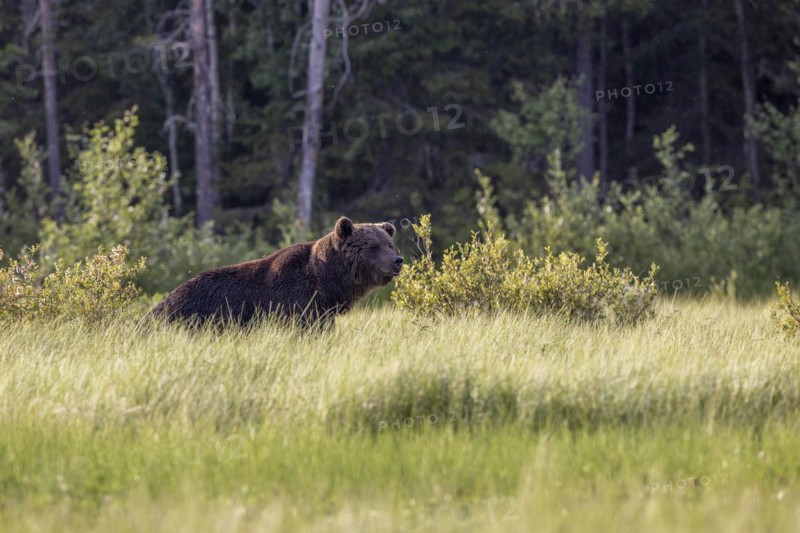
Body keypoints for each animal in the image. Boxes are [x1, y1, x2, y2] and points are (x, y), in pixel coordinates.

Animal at [151, 216, 403, 327]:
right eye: (374, 247)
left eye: (390, 244)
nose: (397, 261)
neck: (327, 282)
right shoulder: (296, 302)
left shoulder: (323, 310)